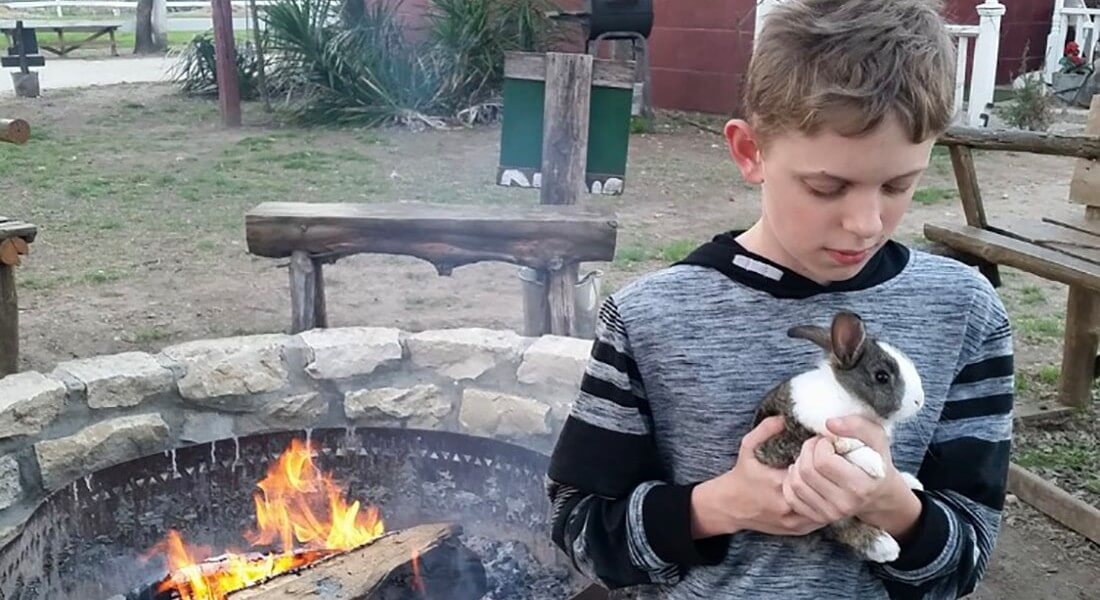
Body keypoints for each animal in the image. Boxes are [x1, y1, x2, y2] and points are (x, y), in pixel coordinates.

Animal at [748, 308, 928, 561]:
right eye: (882, 377)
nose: (919, 401)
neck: (851, 400)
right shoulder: (788, 440)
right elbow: (842, 447)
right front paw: (874, 464)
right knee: (842, 528)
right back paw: (885, 547)